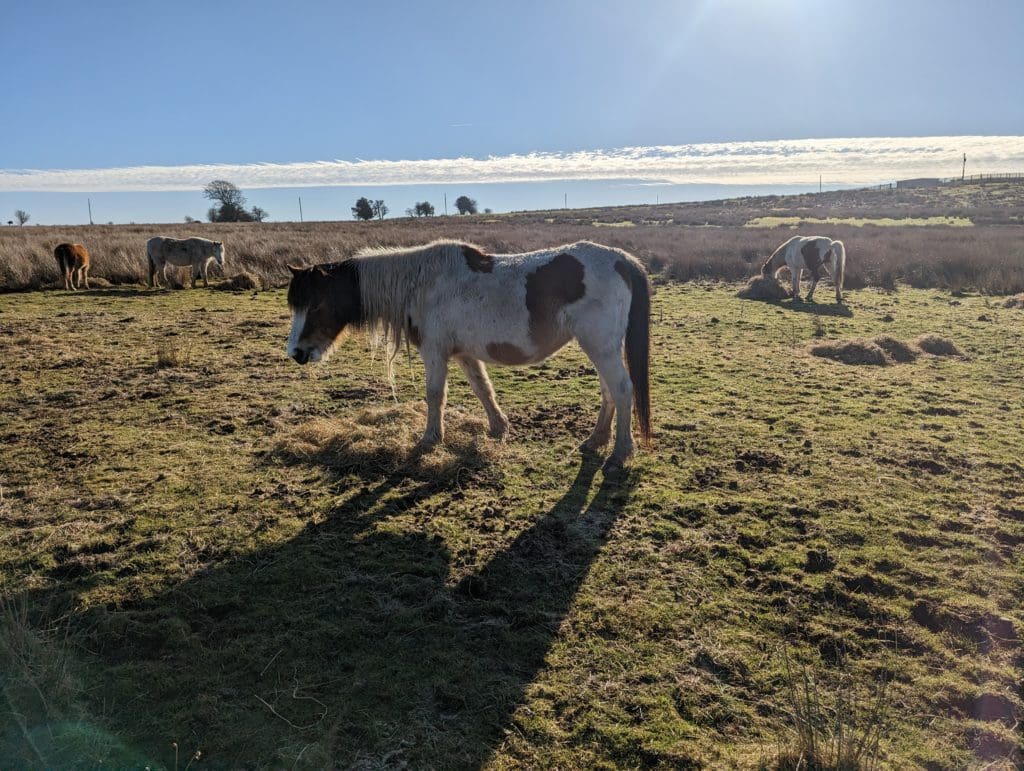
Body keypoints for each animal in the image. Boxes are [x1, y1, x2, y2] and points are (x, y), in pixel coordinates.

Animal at [286, 240, 652, 471]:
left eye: (315, 304)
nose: (297, 353)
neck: (421, 283)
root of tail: (622, 260)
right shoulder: (463, 354)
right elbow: (482, 389)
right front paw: (498, 428)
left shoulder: (435, 352)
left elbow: (435, 395)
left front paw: (430, 439)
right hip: (601, 348)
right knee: (609, 392)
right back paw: (596, 440)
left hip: (600, 346)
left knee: (622, 391)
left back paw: (620, 453)